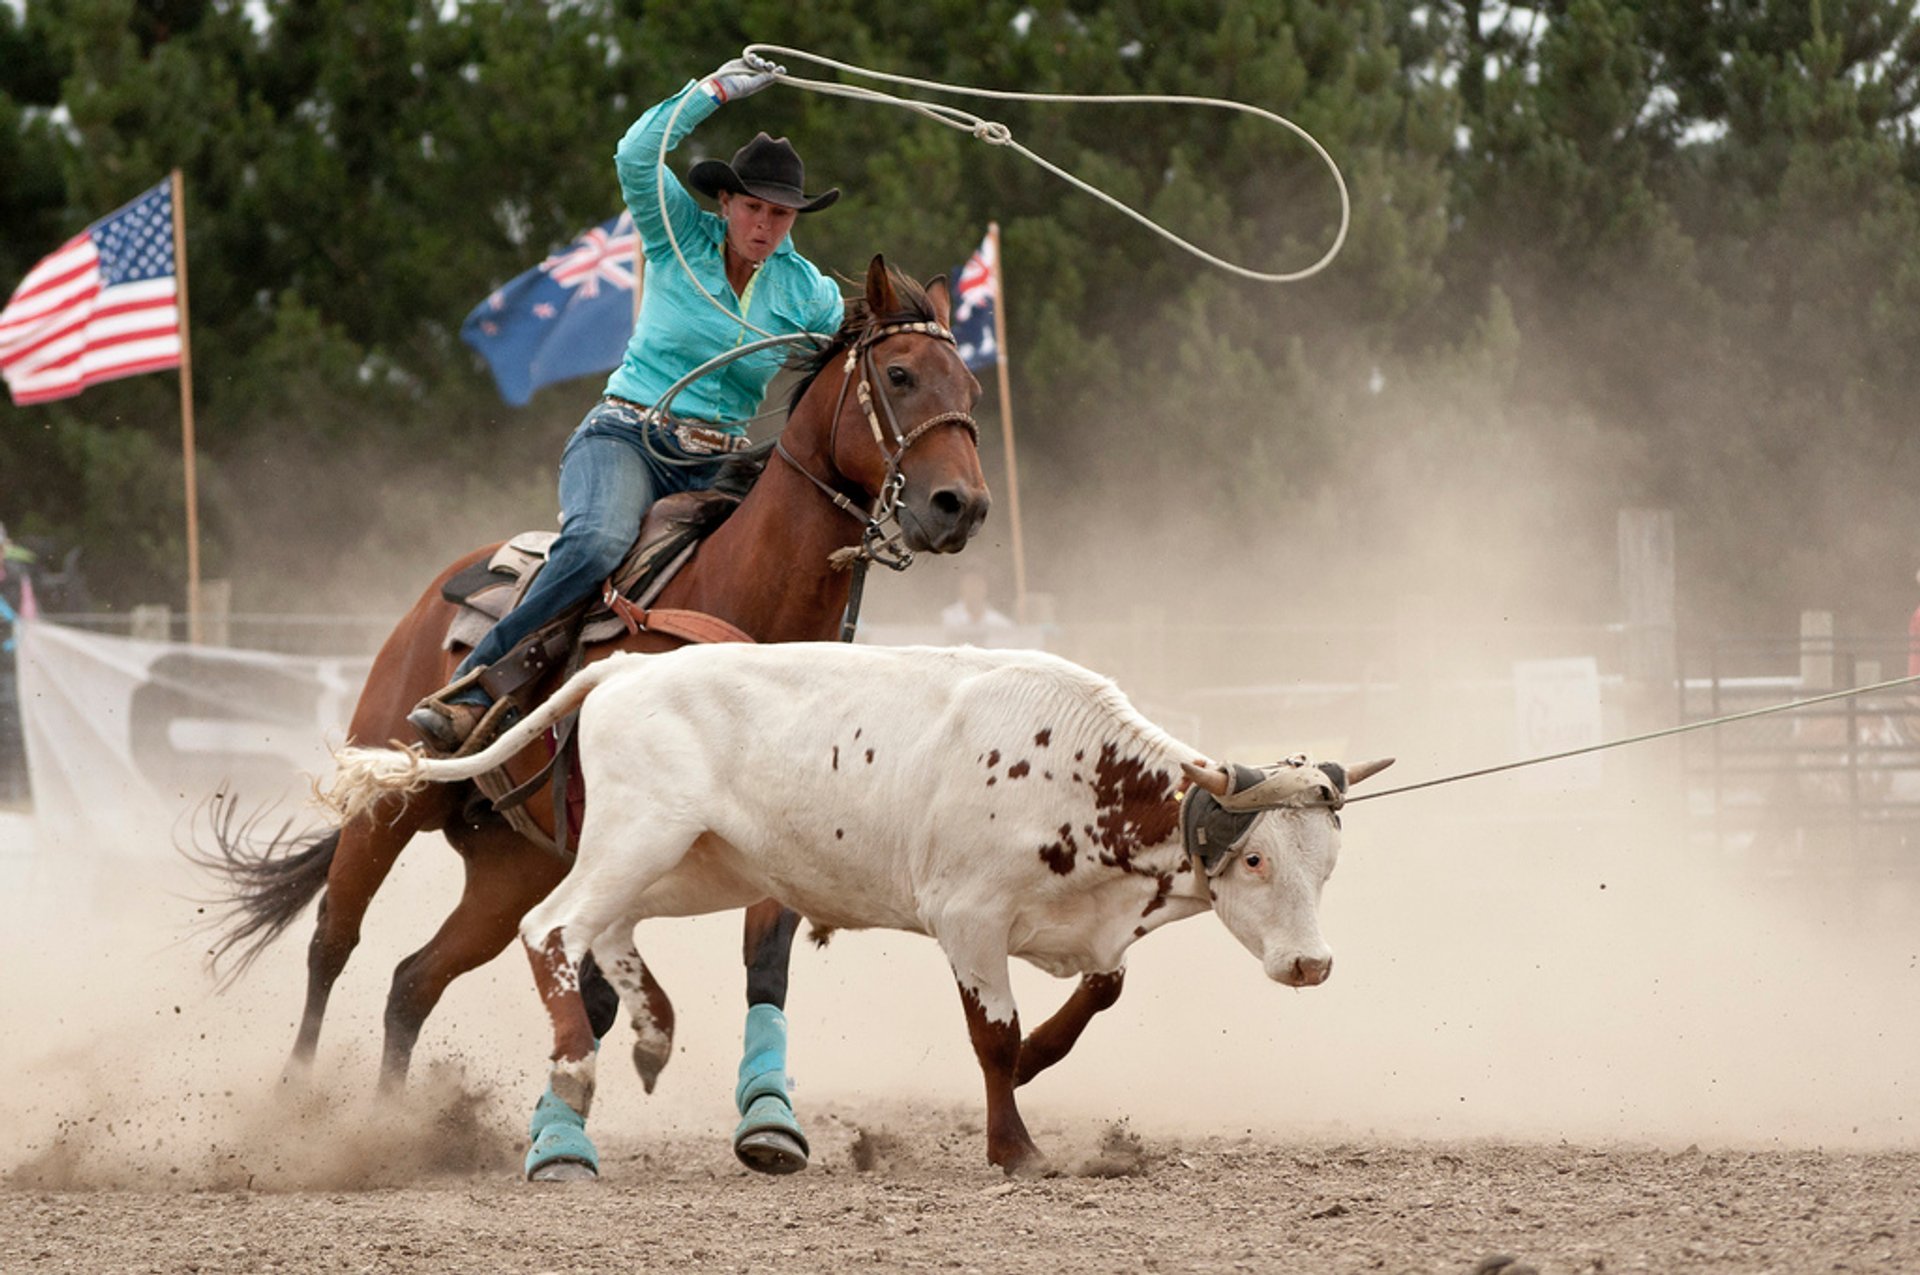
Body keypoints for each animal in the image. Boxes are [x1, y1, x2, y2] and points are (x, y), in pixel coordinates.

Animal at [194, 257, 990, 1175]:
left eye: (970, 383)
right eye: (898, 374)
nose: (961, 505)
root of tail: (443, 588)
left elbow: (760, 961)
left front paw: (768, 1116)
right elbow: (597, 985)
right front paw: (561, 1133)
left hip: (509, 867)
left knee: (411, 980)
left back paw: (388, 1128)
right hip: (391, 800)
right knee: (333, 939)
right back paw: (296, 1105)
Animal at [322, 641, 1390, 1167]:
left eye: (1330, 862)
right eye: (1254, 857)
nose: (1311, 963)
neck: (1082, 765)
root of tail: (627, 668)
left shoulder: (1086, 925)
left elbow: (1100, 993)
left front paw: (1041, 1063)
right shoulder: (968, 920)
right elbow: (992, 1037)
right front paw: (1016, 1148)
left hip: (695, 862)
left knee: (608, 928)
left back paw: (654, 1030)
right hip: (642, 834)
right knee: (552, 928)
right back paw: (580, 1065)